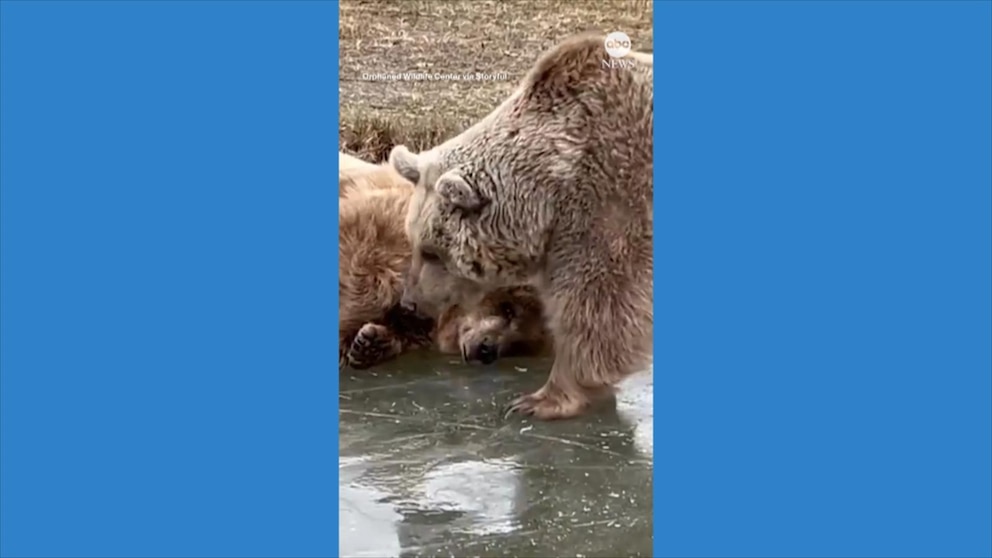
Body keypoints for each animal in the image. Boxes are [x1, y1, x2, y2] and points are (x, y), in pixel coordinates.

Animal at [386, 32, 652, 422]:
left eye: (432, 252)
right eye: (414, 242)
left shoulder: (609, 203)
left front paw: (544, 398)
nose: (410, 303)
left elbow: (598, 301)